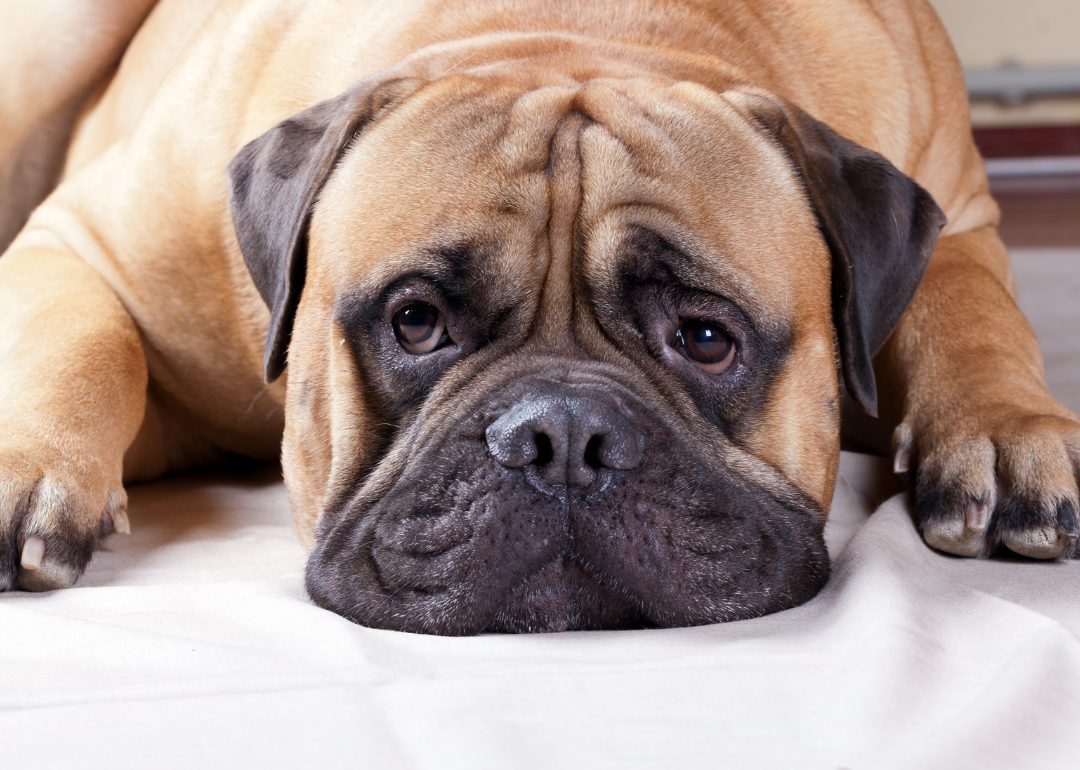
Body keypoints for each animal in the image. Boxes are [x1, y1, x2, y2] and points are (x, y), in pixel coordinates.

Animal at [0, 0, 1075, 635]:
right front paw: (29, 465)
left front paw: (1009, 434)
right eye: (416, 322)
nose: (563, 437)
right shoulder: (82, 243)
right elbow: (85, 339)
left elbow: (971, 309)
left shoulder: (957, 212)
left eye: (705, 338)